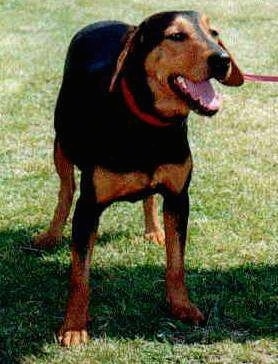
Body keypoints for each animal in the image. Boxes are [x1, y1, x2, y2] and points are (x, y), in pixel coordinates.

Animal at [34, 9, 243, 346]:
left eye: (214, 33)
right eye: (176, 36)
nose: (222, 60)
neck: (149, 124)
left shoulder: (179, 198)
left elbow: (176, 262)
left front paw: (181, 306)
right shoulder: (89, 207)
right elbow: (80, 274)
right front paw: (74, 327)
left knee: (148, 198)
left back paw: (153, 230)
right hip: (61, 145)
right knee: (65, 190)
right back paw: (51, 235)